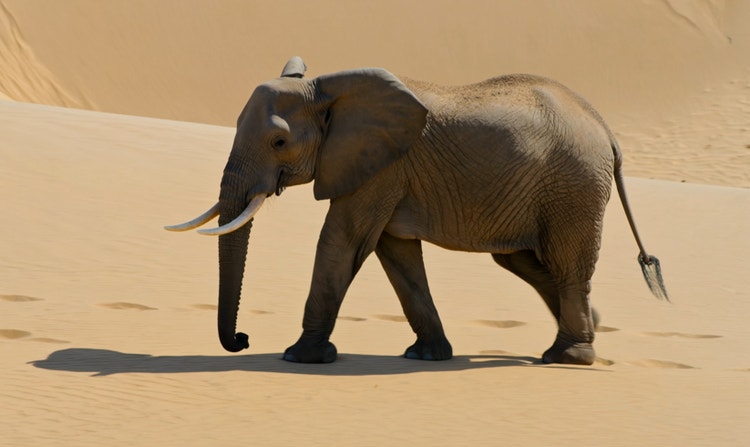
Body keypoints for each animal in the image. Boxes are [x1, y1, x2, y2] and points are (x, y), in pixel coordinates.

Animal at [166, 56, 668, 366]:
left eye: (278, 142)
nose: (242, 340)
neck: (330, 88)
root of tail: (605, 128)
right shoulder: (387, 169)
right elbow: (396, 254)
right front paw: (426, 356)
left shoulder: (381, 166)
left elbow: (343, 241)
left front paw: (299, 357)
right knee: (523, 261)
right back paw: (590, 331)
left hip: (574, 187)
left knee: (566, 265)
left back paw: (567, 358)